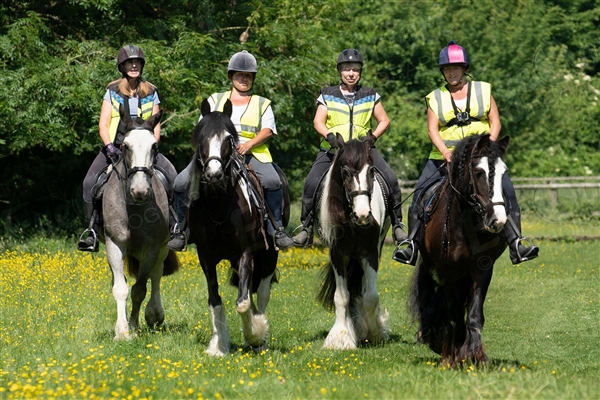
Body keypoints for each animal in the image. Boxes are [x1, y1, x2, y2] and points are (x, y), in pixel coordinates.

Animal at [102, 108, 180, 340]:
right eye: (125, 146)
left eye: (154, 146)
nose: (140, 191)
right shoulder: (115, 244)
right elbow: (120, 288)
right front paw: (122, 331)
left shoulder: (151, 249)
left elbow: (140, 289)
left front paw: (134, 326)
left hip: (163, 248)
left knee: (156, 274)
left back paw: (155, 313)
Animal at [185, 98, 286, 354]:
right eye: (201, 138)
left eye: (228, 139)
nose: (214, 175)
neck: (218, 204)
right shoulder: (206, 256)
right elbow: (215, 301)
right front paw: (218, 345)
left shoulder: (245, 253)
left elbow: (242, 303)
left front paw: (254, 335)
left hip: (269, 257)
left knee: (261, 294)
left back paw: (261, 339)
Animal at [412, 134, 510, 366]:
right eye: (479, 172)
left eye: (503, 172)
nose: (498, 220)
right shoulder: (446, 271)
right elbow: (454, 312)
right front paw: (451, 357)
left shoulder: (482, 269)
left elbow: (474, 313)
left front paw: (476, 355)